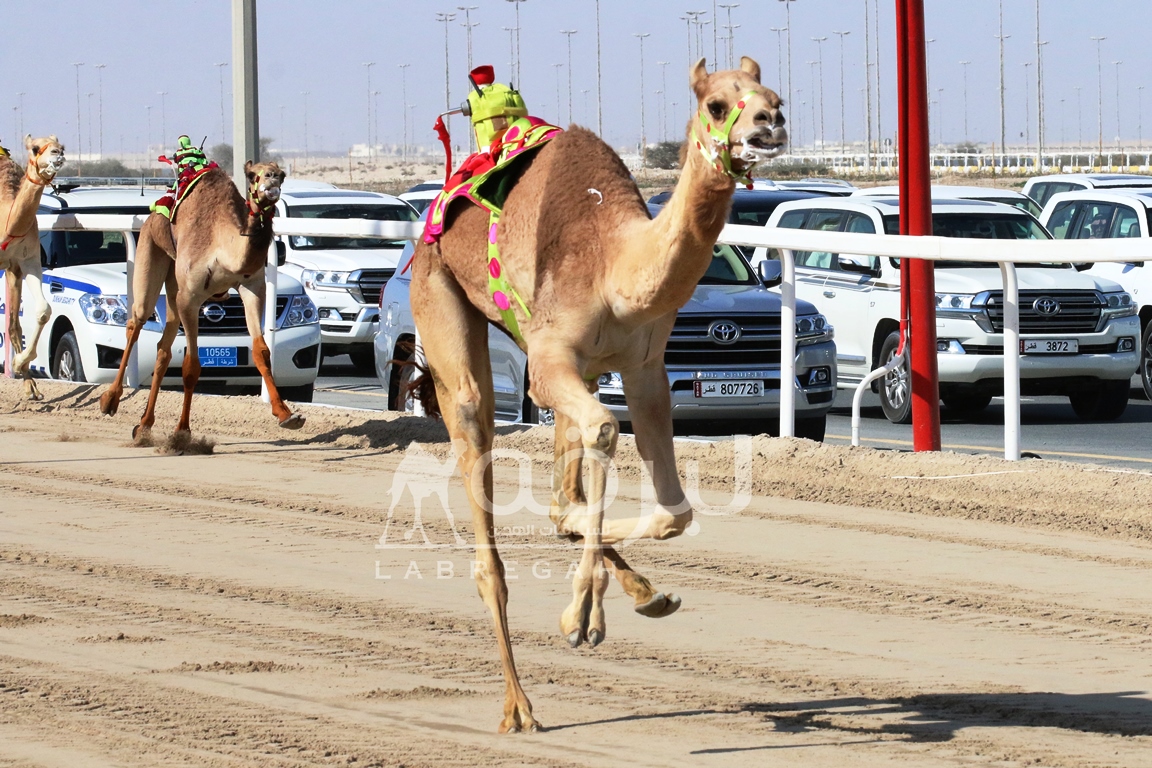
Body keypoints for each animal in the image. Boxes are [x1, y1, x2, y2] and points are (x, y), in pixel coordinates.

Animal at [99, 161, 306, 437]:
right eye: (252, 176)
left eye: (282, 174)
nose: (272, 179)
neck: (223, 250)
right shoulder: (190, 298)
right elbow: (191, 366)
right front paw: (182, 431)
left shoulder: (252, 287)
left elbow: (261, 351)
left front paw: (286, 414)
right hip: (150, 251)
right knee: (136, 322)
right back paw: (109, 400)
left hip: (173, 282)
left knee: (163, 347)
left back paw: (144, 425)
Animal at [410, 56, 787, 732]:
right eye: (718, 105)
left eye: (774, 97)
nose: (769, 126)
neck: (616, 264)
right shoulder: (547, 358)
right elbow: (605, 434)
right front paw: (578, 619)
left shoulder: (644, 369)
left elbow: (673, 511)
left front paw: (613, 595)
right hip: (442, 301)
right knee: (479, 442)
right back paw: (519, 706)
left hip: (575, 371)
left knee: (565, 491)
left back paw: (642, 592)